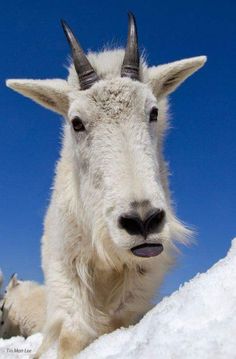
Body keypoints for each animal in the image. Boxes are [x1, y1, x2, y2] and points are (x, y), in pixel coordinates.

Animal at [6, 12, 206, 359]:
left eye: (153, 111)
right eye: (76, 122)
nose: (143, 221)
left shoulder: (140, 280)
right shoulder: (64, 269)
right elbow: (71, 335)